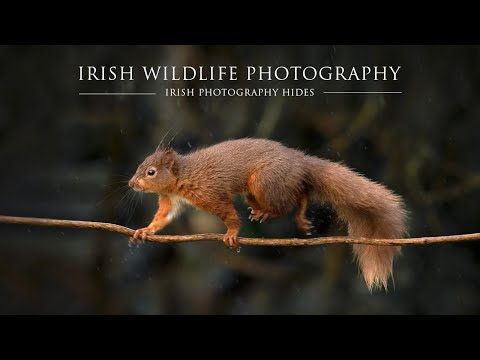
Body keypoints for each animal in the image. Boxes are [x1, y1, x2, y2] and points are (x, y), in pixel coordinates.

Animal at [127, 138, 404, 292]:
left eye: (151, 172)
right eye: (140, 165)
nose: (131, 183)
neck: (180, 179)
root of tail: (300, 163)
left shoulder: (210, 193)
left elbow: (228, 213)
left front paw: (232, 233)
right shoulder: (170, 201)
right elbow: (162, 218)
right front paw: (145, 231)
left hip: (263, 181)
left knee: (291, 200)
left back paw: (285, 212)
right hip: (256, 190)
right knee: (300, 192)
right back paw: (271, 212)